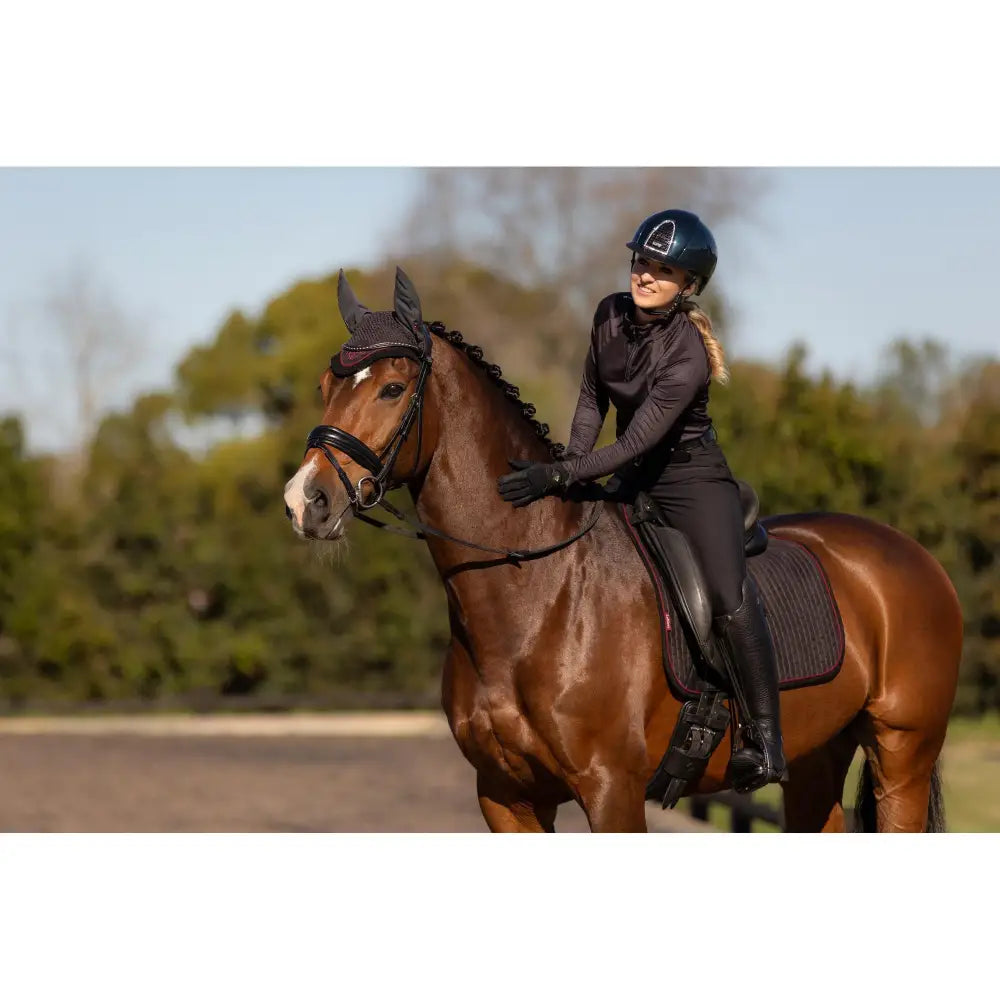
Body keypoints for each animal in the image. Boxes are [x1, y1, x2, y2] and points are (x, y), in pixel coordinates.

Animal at [284, 270, 960, 832]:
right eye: (324, 384)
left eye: (394, 388)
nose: (305, 501)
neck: (536, 593)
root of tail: (916, 556)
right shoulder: (506, 796)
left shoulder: (612, 792)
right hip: (819, 757)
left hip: (903, 752)